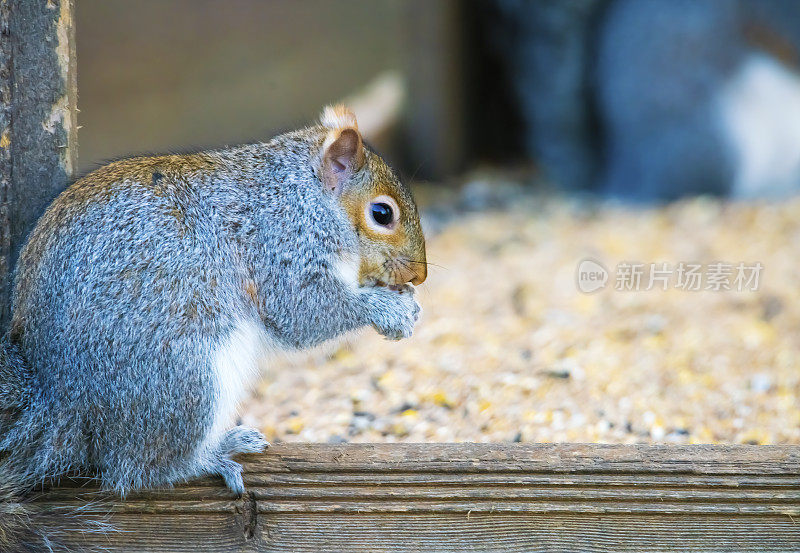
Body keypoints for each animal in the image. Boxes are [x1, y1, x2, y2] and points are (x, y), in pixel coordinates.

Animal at [0, 104, 424, 548]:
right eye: (382, 214)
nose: (420, 275)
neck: (301, 194)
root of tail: (60, 400)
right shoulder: (280, 244)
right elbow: (303, 311)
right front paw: (390, 310)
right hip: (186, 378)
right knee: (140, 469)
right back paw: (216, 453)